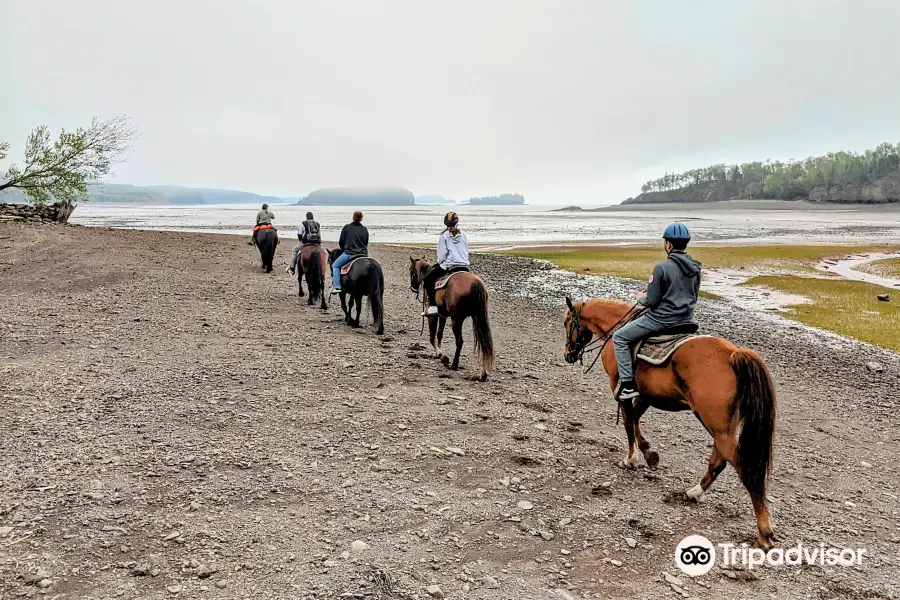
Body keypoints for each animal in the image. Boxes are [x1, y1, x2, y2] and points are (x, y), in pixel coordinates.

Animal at [568, 296, 776, 548]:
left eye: (567, 322)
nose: (568, 354)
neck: (616, 327)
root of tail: (733, 354)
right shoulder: (647, 395)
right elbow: (636, 419)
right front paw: (649, 453)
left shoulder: (622, 391)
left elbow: (628, 422)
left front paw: (630, 459)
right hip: (722, 428)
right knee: (718, 461)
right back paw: (694, 492)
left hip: (718, 427)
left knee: (745, 468)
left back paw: (764, 532)